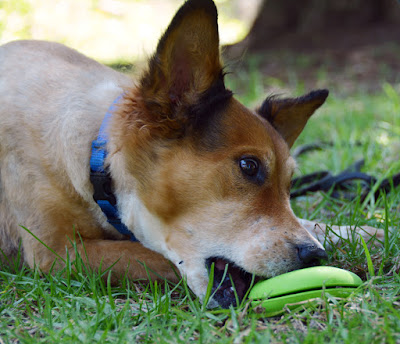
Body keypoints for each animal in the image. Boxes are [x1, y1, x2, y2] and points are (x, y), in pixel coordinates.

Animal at [0, 0, 382, 308]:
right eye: (249, 166)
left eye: (290, 185)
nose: (316, 256)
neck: (96, 152)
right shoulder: (57, 252)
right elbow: (152, 255)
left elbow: (310, 223)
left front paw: (368, 233)